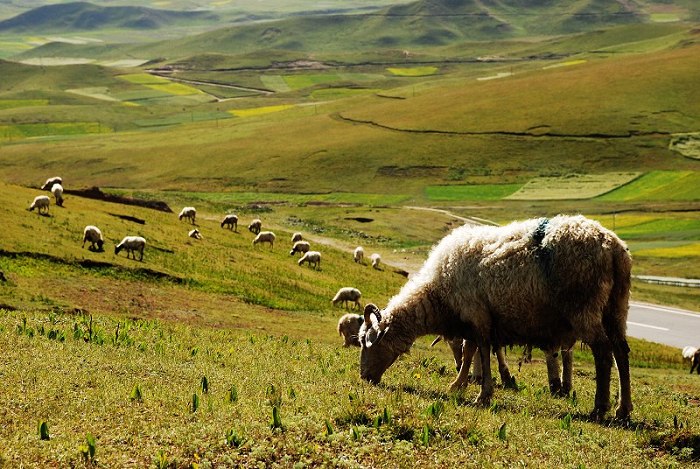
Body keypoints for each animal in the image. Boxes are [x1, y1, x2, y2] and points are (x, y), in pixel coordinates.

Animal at [360, 214, 636, 418]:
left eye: (368, 344)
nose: (364, 378)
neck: (437, 293)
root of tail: (613, 246)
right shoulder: (472, 319)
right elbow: (469, 352)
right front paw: (458, 385)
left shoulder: (477, 314)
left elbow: (482, 350)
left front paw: (482, 395)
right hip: (617, 306)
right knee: (621, 352)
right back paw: (623, 409)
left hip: (584, 306)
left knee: (603, 352)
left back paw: (600, 408)